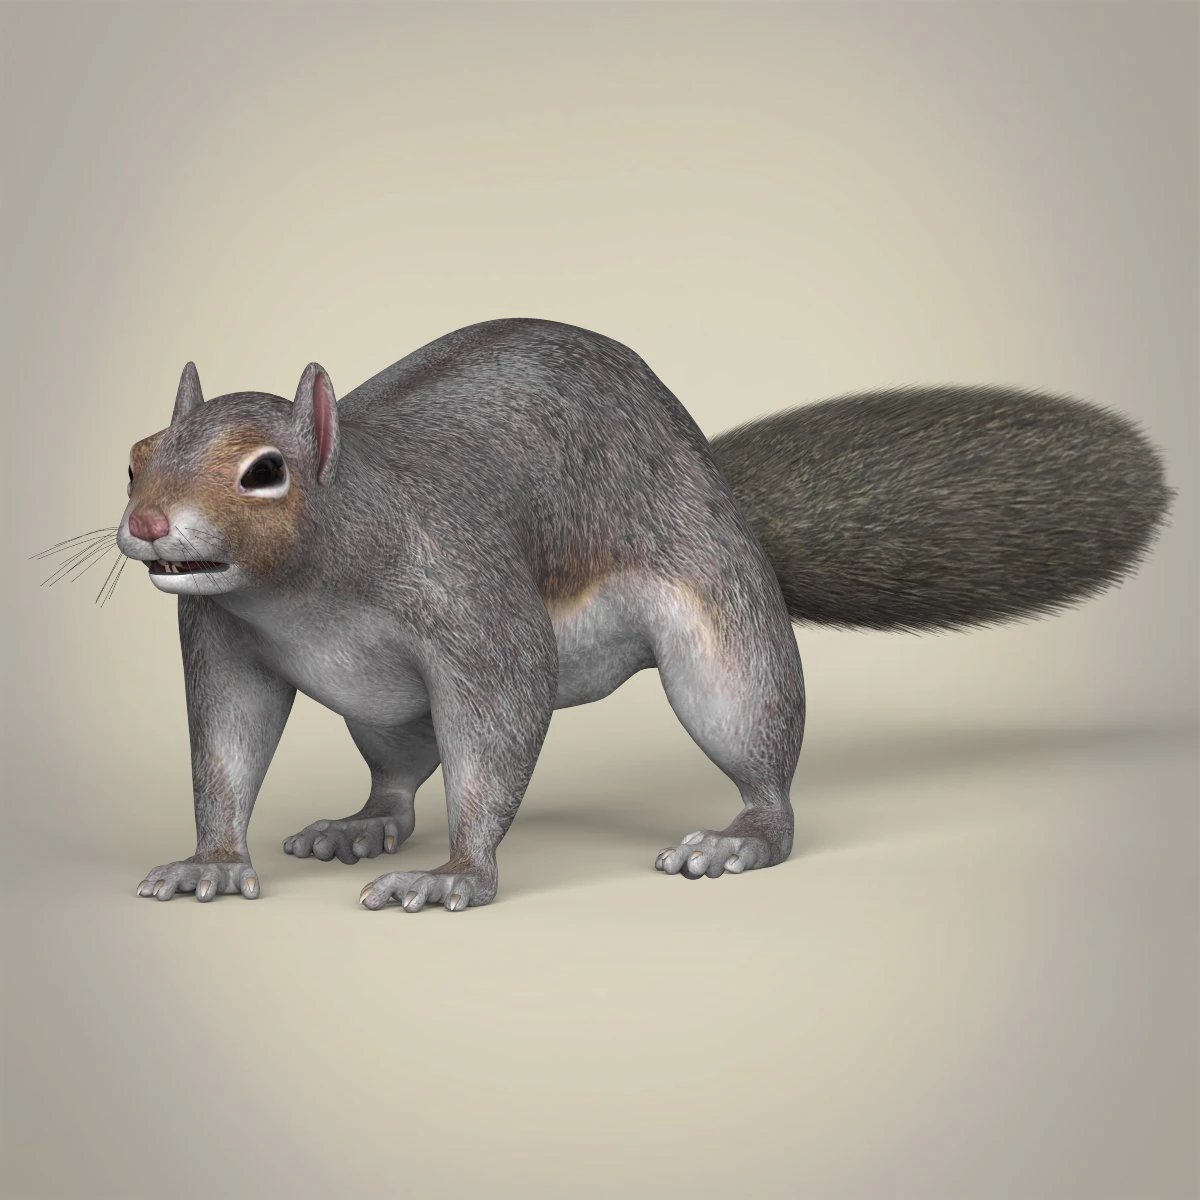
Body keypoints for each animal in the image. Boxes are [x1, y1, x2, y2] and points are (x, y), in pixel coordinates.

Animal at [103, 317, 1170, 911]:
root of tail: (716, 485)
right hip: (384, 712)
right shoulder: (222, 640)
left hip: (724, 640)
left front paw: (457, 875)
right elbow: (226, 748)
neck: (302, 588)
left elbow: (502, 716)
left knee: (764, 763)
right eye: (135, 456)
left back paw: (740, 838)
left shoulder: (468, 595)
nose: (148, 525)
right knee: (399, 778)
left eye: (265, 472)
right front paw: (211, 859)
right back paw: (358, 824)